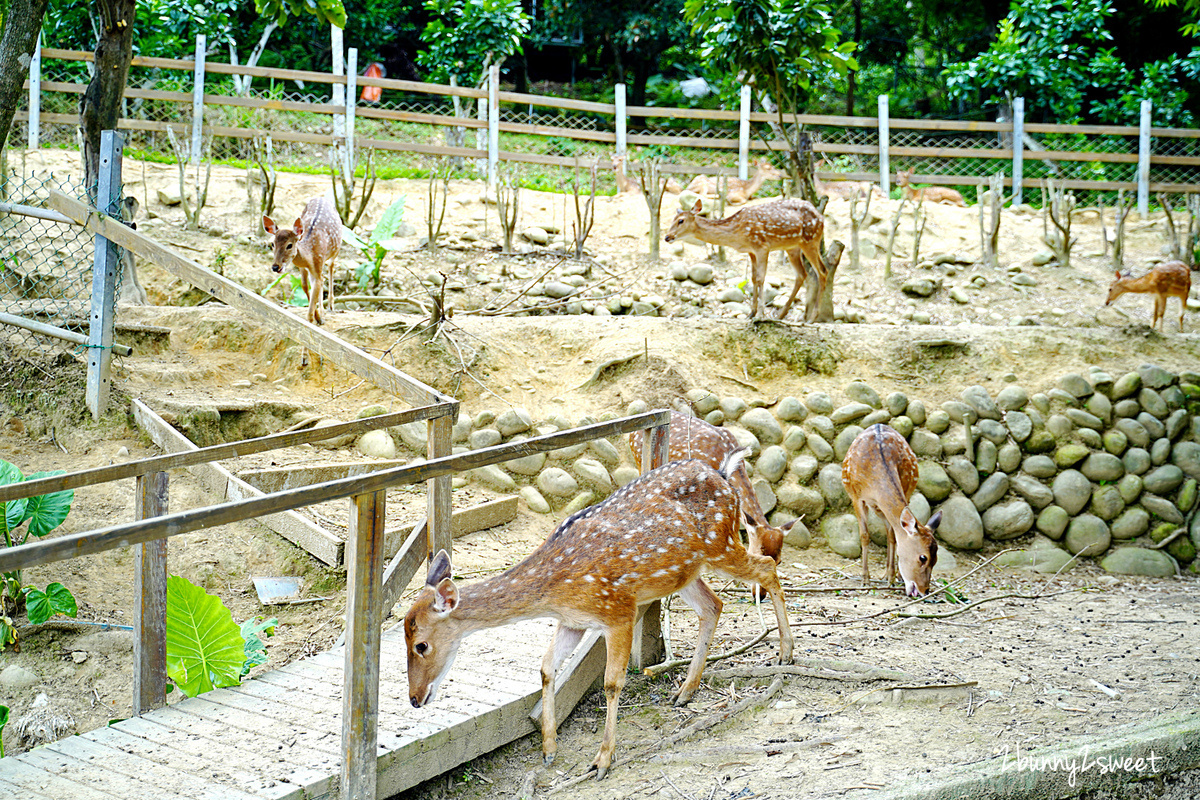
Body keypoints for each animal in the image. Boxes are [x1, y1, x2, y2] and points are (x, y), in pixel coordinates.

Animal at [260, 194, 340, 326]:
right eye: (272, 244)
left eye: (289, 245)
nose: (275, 267)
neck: (309, 256)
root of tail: (322, 197)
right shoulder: (303, 267)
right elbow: (305, 286)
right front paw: (318, 317)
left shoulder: (318, 263)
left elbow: (310, 308)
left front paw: (313, 320)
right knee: (322, 279)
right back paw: (322, 313)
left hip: (335, 250)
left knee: (330, 268)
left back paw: (330, 306)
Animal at [405, 450, 796, 782]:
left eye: (421, 644)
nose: (414, 698)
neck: (555, 588)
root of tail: (724, 473)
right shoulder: (573, 621)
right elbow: (545, 668)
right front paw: (549, 749)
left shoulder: (617, 610)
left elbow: (611, 683)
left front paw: (602, 761)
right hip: (685, 571)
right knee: (713, 604)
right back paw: (686, 690)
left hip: (722, 544)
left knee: (767, 567)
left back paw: (786, 652)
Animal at [667, 199, 825, 321]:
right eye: (672, 220)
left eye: (681, 220)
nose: (667, 237)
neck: (737, 235)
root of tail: (821, 216)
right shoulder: (751, 251)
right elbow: (753, 278)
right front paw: (751, 313)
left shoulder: (762, 246)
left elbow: (761, 278)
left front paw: (760, 315)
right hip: (793, 247)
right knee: (802, 274)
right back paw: (781, 315)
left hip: (810, 239)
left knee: (822, 271)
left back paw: (812, 318)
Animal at [840, 424, 940, 594]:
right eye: (923, 557)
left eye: (936, 559)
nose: (925, 590)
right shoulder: (857, 498)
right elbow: (864, 536)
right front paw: (865, 580)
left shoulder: (905, 491)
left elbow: (894, 534)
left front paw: (892, 578)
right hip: (876, 506)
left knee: (891, 532)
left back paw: (891, 575)